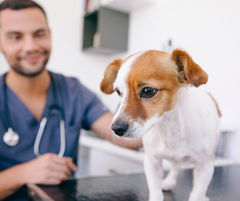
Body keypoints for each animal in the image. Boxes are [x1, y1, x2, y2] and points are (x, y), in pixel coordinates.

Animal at [100, 49, 220, 201]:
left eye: (148, 91)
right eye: (118, 91)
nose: (116, 129)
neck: (170, 129)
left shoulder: (205, 167)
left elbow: (196, 194)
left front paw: (200, 196)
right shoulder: (152, 161)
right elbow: (156, 192)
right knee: (176, 166)